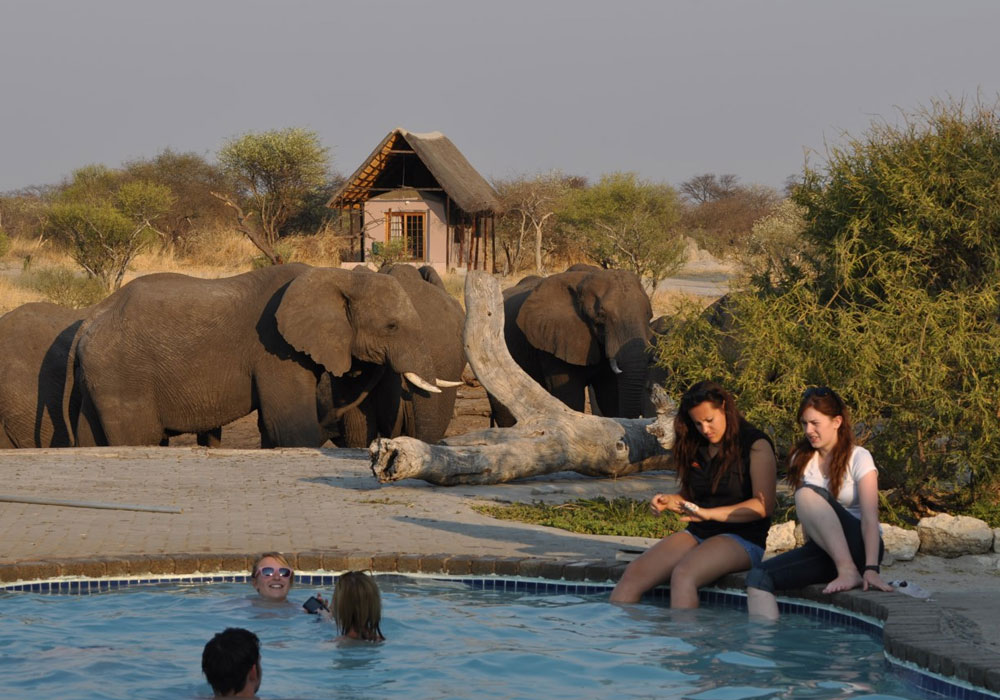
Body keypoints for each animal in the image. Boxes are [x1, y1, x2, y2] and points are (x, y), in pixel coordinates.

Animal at [68, 263, 444, 448]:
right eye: (392, 326)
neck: (337, 275)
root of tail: (88, 320)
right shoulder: (275, 350)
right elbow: (289, 425)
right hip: (123, 378)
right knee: (139, 439)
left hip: (98, 380)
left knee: (91, 439)